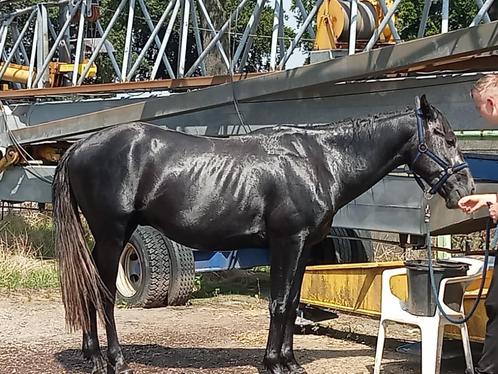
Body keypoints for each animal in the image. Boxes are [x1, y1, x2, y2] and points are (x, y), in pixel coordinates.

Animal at [53, 95, 474, 374]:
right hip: (113, 235)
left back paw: (93, 355)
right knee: (103, 294)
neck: (320, 161)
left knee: (89, 288)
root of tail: (79, 147)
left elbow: (292, 302)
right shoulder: (287, 242)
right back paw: (115, 360)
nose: (465, 190)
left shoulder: (304, 247)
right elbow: (279, 304)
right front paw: (274, 363)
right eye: (447, 138)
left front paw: (289, 361)